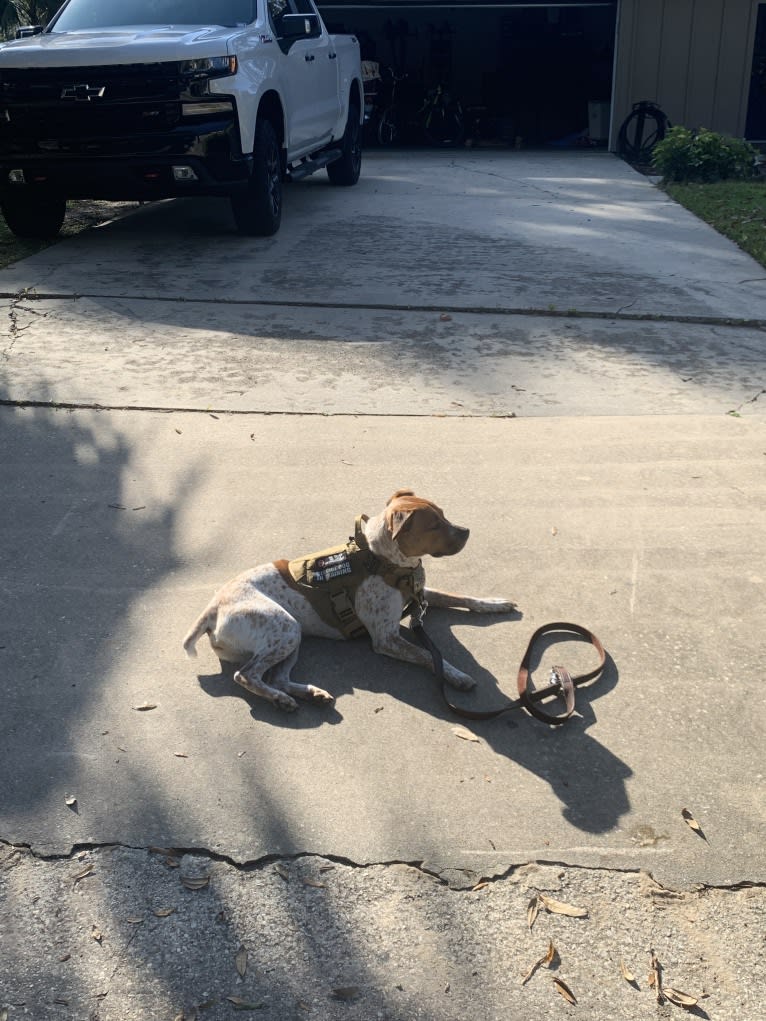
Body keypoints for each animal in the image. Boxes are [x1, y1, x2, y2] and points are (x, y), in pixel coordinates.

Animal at [182, 490, 516, 714]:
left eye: (444, 514)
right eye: (433, 525)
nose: (467, 532)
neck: (384, 561)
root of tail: (212, 610)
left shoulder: (420, 594)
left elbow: (463, 597)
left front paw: (495, 604)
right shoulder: (386, 639)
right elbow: (429, 655)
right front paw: (456, 676)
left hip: (291, 636)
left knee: (276, 676)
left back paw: (309, 693)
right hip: (285, 628)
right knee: (246, 675)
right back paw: (281, 700)